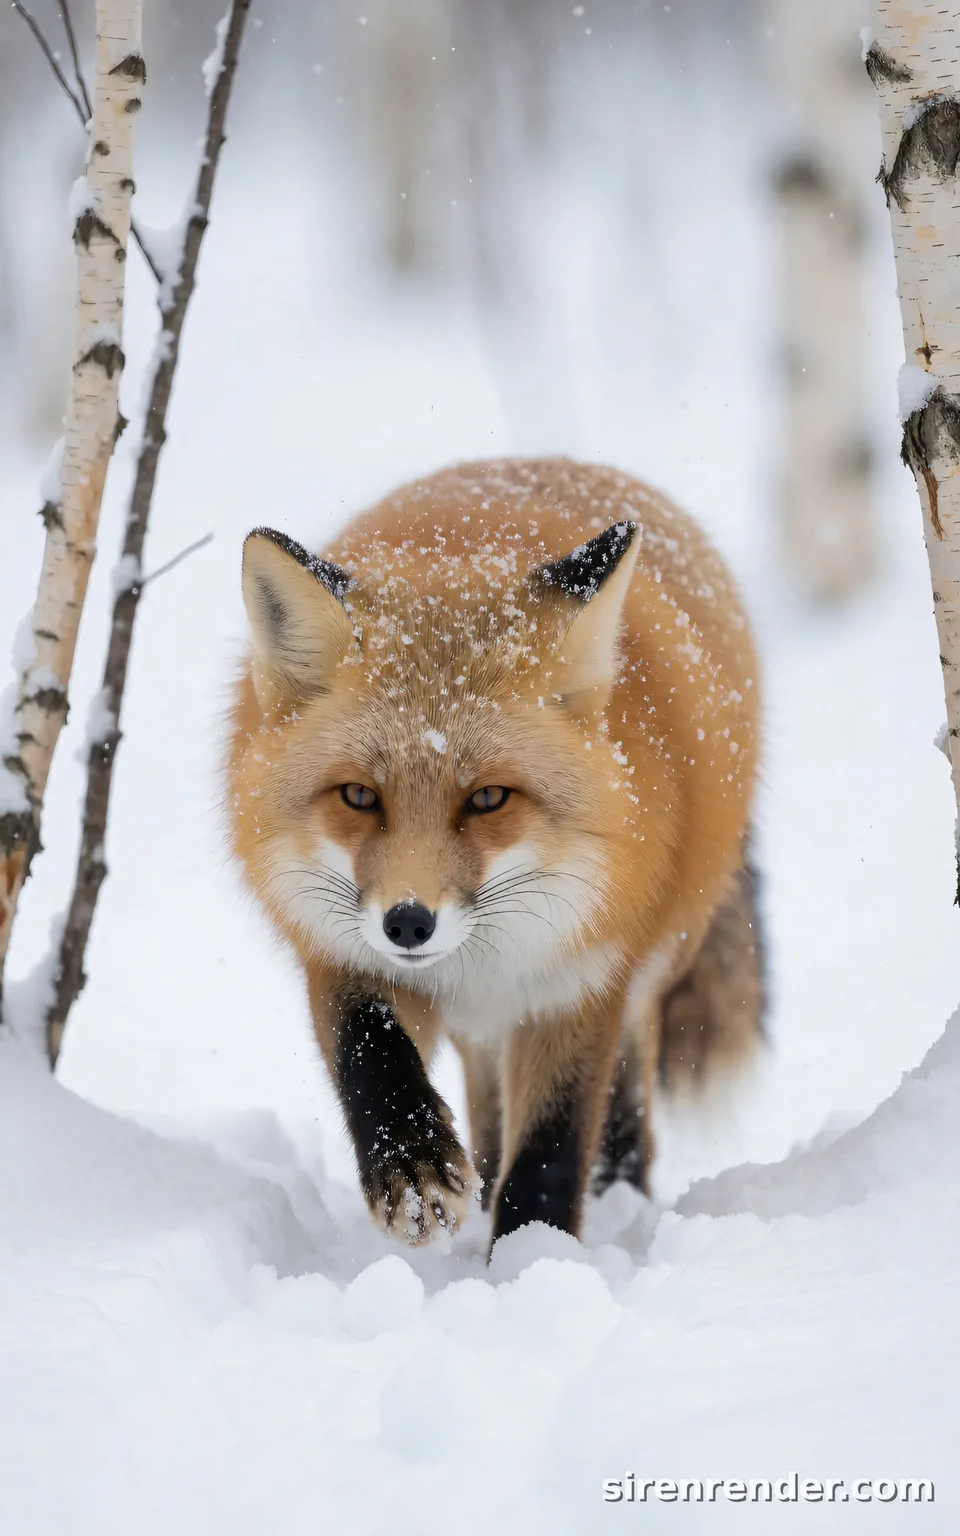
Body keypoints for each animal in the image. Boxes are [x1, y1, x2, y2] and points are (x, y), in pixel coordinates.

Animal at [227, 457, 763, 1249]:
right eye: (358, 796)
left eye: (487, 799)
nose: (408, 924)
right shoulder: (337, 949)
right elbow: (369, 1055)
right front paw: (412, 1168)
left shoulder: (579, 982)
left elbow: (551, 1145)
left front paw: (532, 1254)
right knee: (486, 1106)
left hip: (647, 972)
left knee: (625, 1110)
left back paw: (616, 1191)